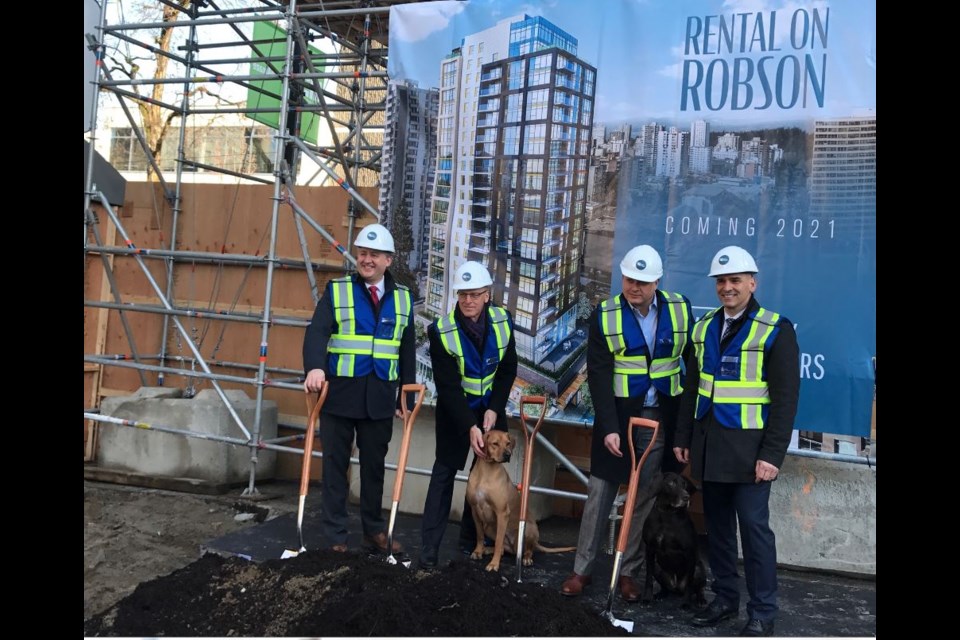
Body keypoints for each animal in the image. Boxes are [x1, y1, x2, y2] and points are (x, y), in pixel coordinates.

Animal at [466, 430, 572, 568]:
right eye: (495, 443)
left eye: (508, 443)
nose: (508, 455)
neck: (486, 471)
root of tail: (513, 547)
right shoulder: (474, 510)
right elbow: (479, 535)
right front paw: (478, 551)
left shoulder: (502, 512)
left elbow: (498, 541)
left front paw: (494, 564)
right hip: (488, 527)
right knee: (502, 549)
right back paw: (487, 549)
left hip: (529, 529)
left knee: (527, 550)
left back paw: (526, 558)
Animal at [640, 470, 708, 604]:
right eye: (671, 483)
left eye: (684, 484)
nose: (686, 497)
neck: (667, 514)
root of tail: (676, 587)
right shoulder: (649, 549)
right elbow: (648, 578)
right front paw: (647, 598)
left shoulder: (689, 552)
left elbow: (690, 584)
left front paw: (686, 603)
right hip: (657, 566)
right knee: (665, 587)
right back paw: (660, 594)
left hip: (699, 569)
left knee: (697, 588)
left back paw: (700, 600)